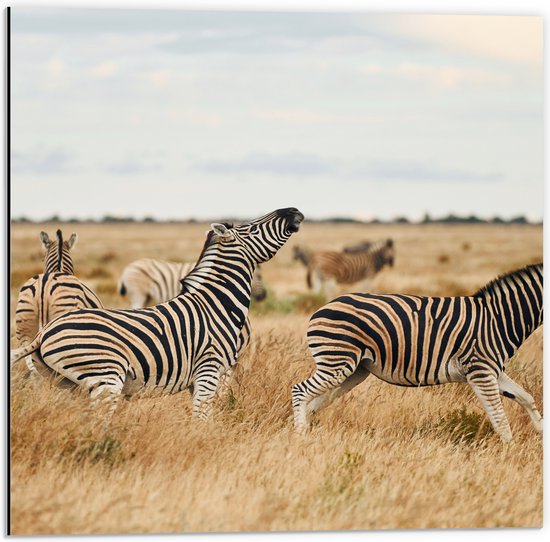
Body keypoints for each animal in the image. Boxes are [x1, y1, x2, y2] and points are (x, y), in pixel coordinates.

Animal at [292, 264, 544, 446]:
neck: (500, 318)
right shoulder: (480, 369)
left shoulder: (493, 371)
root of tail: (323, 307)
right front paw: (509, 453)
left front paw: (541, 435)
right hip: (336, 363)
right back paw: (300, 436)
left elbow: (525, 397)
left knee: (313, 402)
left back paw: (308, 431)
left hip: (354, 370)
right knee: (300, 390)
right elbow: (499, 418)